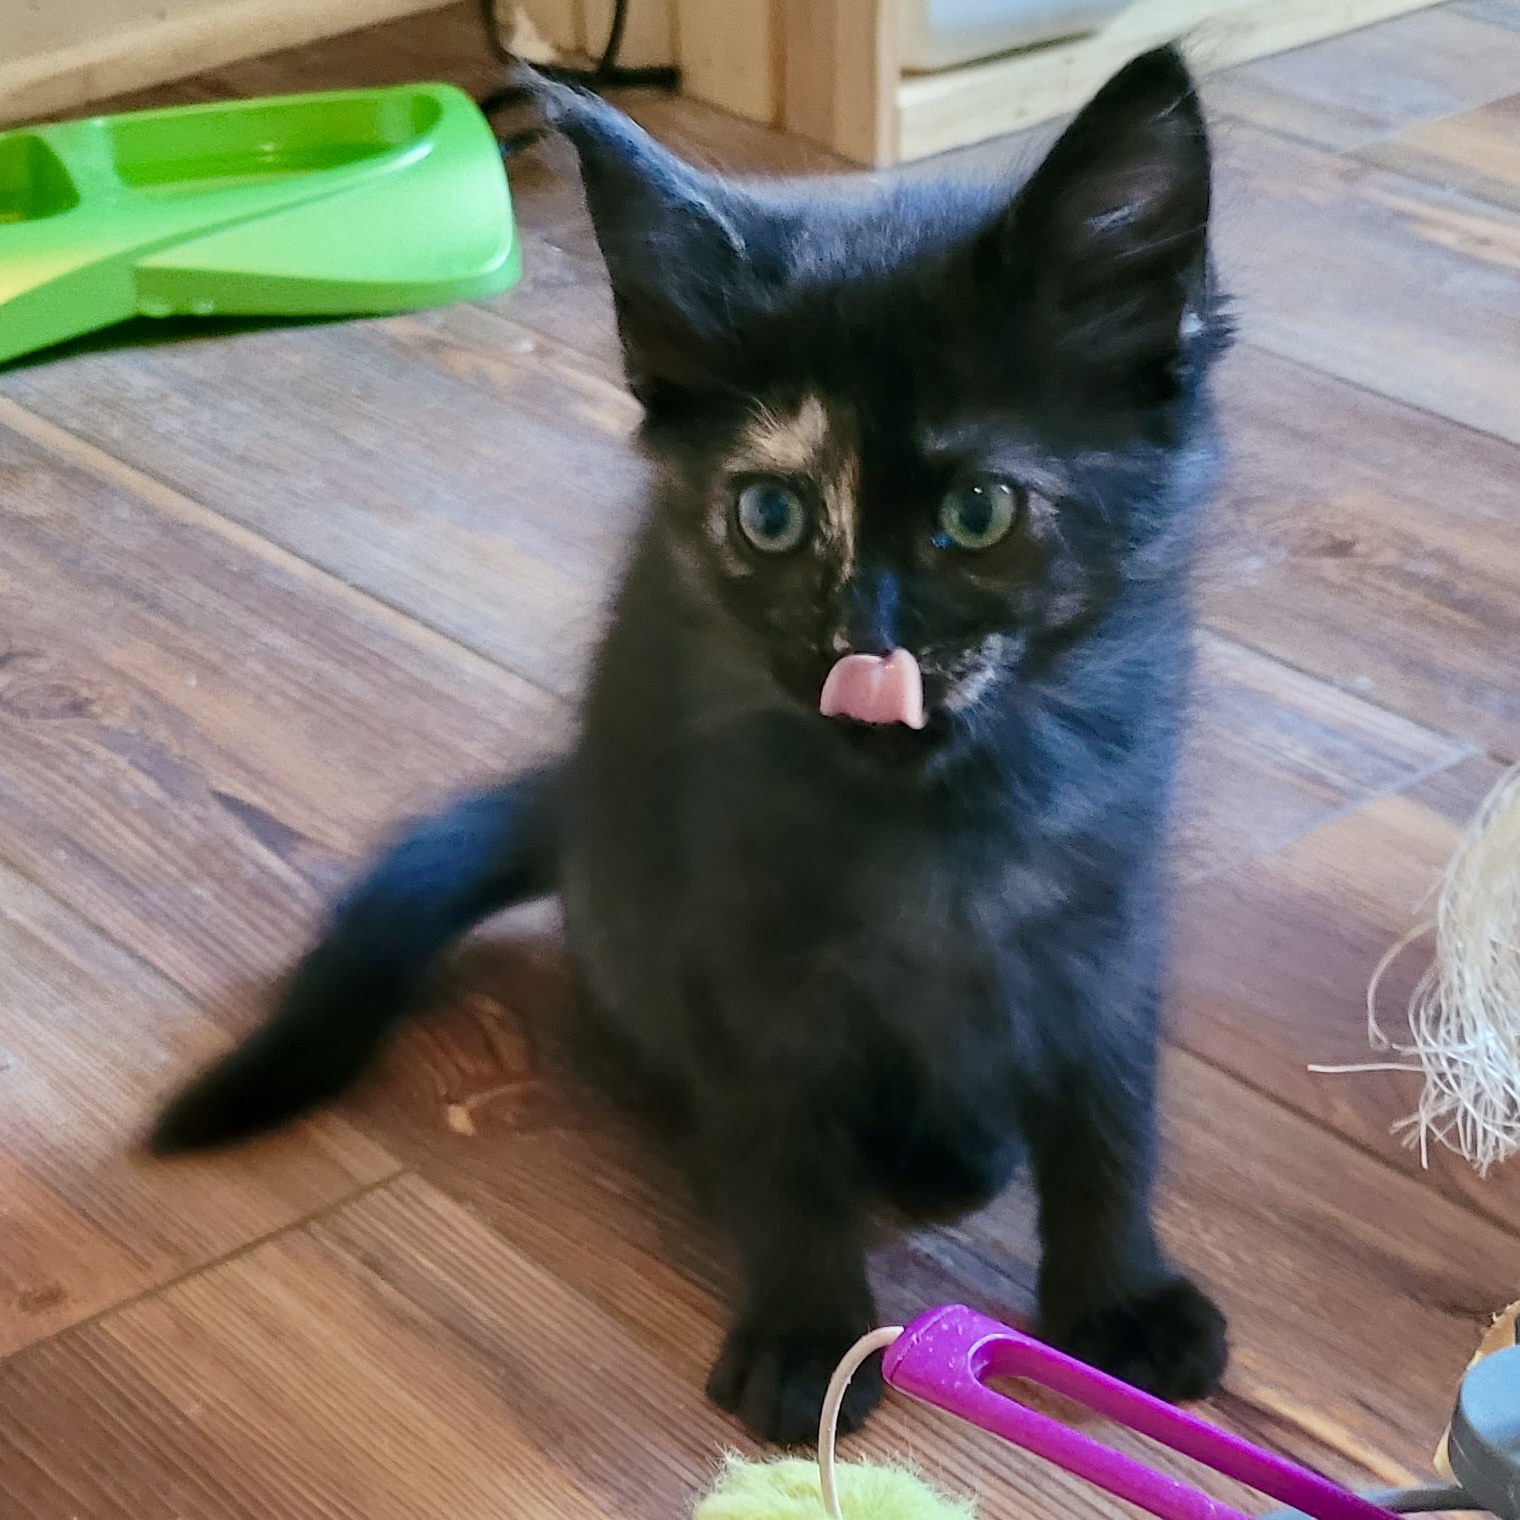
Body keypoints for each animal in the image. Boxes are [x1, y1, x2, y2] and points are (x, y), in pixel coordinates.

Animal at [152, 44, 1233, 1444]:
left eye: (978, 511)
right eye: (770, 515)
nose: (858, 649)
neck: (935, 824)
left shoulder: (1105, 915)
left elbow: (1108, 1114)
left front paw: (1117, 1300)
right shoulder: (730, 935)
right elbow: (778, 1143)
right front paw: (807, 1330)